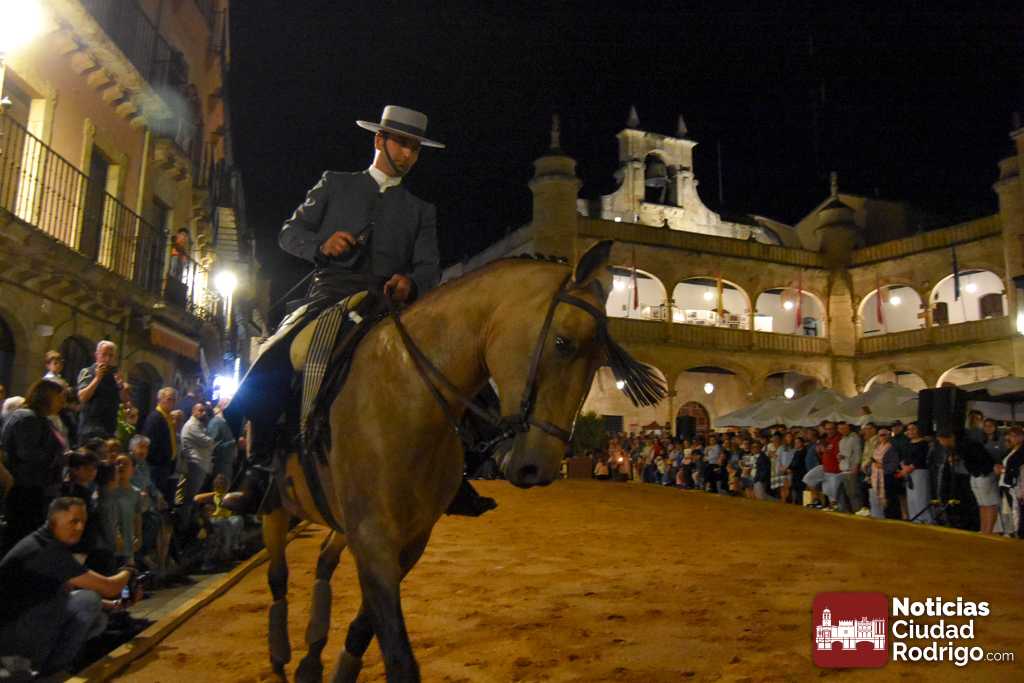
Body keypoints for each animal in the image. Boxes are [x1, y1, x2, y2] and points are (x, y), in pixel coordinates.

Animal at [261, 240, 664, 682]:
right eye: (563, 342)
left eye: (599, 362)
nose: (538, 466)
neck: (405, 394)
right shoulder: (372, 539)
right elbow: (397, 654)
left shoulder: (409, 541)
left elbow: (364, 628)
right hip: (276, 506)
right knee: (278, 575)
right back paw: (281, 653)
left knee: (322, 560)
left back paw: (312, 653)